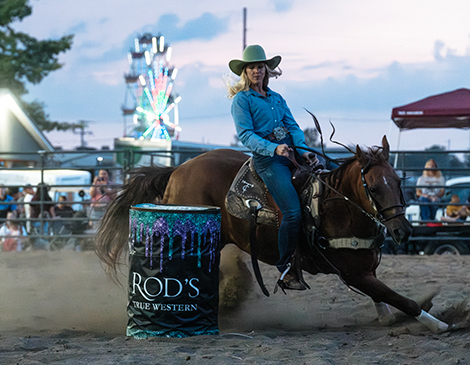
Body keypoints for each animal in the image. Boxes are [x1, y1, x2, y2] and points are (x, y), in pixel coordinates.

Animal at [94, 135, 448, 332]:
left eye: (399, 181)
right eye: (372, 187)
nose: (403, 230)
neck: (340, 208)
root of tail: (177, 170)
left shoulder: (364, 271)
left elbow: (384, 301)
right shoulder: (352, 273)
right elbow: (399, 299)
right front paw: (439, 324)